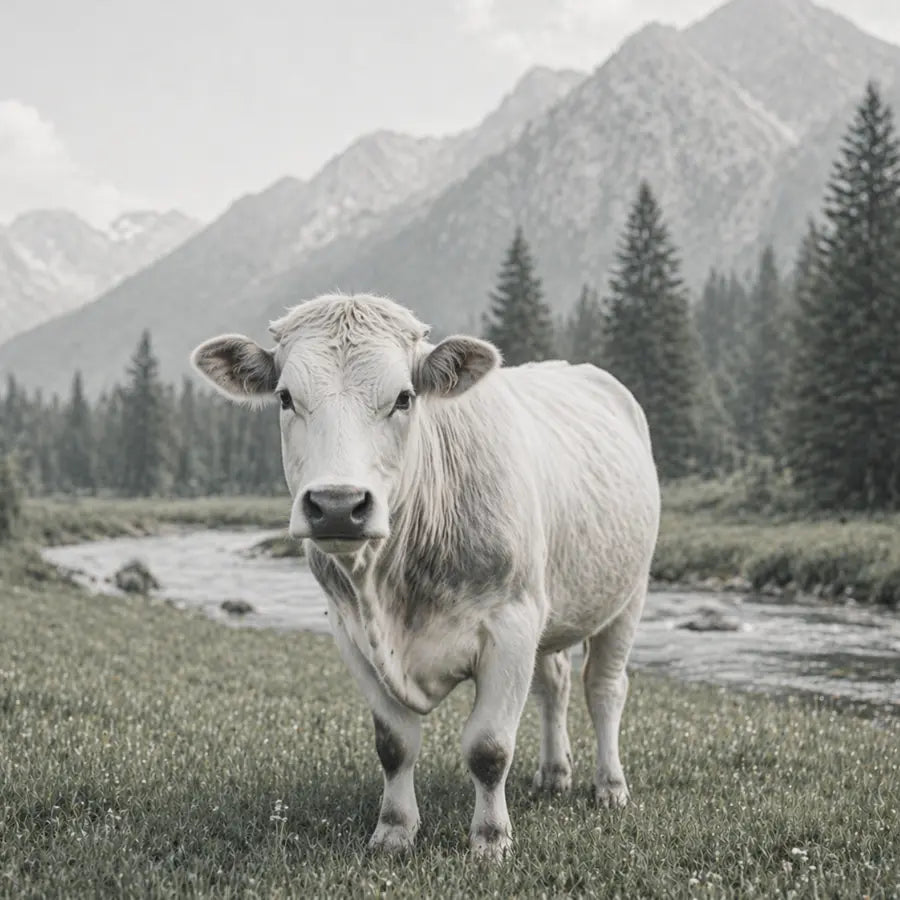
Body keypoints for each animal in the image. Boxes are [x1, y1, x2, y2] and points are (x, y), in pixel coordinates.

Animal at [191, 293, 660, 860]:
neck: (395, 590)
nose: (337, 505)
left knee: (604, 689)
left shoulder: (511, 624)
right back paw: (553, 774)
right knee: (555, 685)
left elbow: (489, 747)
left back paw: (609, 786)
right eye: (285, 397)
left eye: (404, 397)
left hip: (628, 594)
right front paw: (394, 830)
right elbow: (394, 744)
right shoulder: (351, 631)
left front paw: (490, 840)